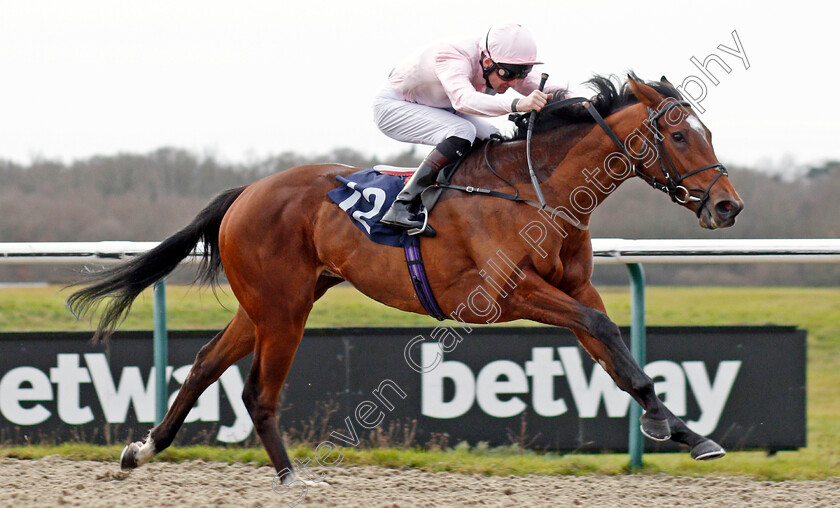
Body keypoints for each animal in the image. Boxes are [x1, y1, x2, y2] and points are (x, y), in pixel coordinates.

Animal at [69, 74, 744, 480]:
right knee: (258, 391)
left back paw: (143, 449)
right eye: (678, 134)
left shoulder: (574, 288)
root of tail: (247, 192)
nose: (727, 205)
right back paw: (293, 480)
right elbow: (603, 331)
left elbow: (614, 349)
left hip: (269, 302)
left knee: (208, 362)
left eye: (709, 131)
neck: (537, 191)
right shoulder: (506, 293)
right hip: (283, 309)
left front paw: (682, 429)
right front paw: (667, 424)